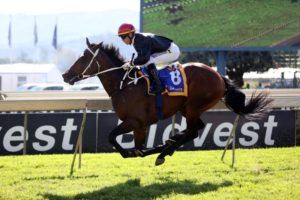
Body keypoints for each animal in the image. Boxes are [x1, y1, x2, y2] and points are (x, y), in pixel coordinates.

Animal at [62, 38, 274, 166]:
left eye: (84, 57)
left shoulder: (136, 122)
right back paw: (168, 145)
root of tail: (219, 76)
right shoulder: (139, 125)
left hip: (192, 106)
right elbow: (133, 145)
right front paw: (146, 149)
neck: (125, 85)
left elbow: (114, 138)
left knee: (193, 131)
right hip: (188, 108)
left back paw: (164, 151)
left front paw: (132, 153)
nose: (65, 75)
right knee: (195, 128)